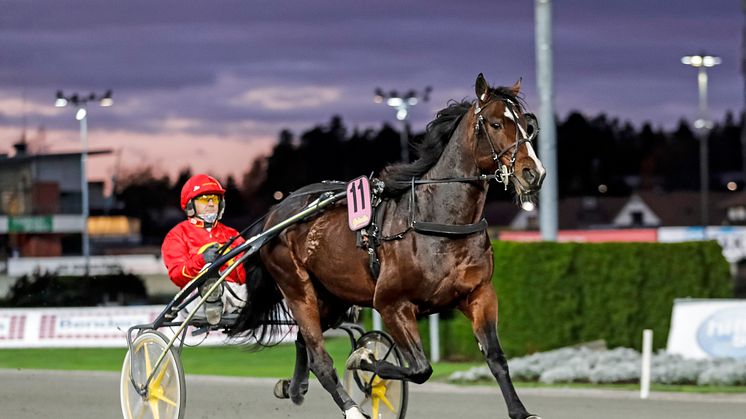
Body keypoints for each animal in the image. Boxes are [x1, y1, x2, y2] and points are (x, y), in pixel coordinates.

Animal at [232, 75, 548, 419]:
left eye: (528, 125)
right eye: (495, 123)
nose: (534, 174)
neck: (438, 218)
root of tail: (275, 213)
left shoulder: (480, 294)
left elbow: (496, 357)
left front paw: (521, 411)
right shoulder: (390, 303)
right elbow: (420, 368)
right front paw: (363, 359)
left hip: (332, 296)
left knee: (304, 341)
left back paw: (295, 387)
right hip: (297, 288)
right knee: (320, 357)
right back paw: (351, 409)